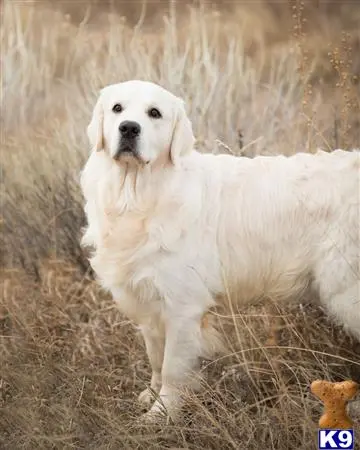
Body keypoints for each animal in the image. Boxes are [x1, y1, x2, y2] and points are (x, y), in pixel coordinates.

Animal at [80, 80, 358, 422]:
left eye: (154, 113)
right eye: (117, 108)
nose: (129, 128)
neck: (139, 192)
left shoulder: (183, 306)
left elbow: (172, 367)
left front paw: (161, 414)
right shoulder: (148, 300)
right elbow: (156, 358)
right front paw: (150, 396)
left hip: (347, 290)